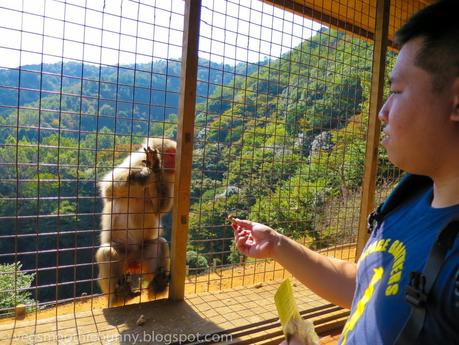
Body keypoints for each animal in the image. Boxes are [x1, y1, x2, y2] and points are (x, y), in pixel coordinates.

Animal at [96, 136, 177, 304]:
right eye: (171, 154)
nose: (175, 161)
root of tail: (133, 263)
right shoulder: (136, 161)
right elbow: (109, 188)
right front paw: (144, 174)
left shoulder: (169, 178)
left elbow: (160, 209)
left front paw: (156, 167)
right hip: (123, 254)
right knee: (108, 252)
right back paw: (119, 296)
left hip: (142, 253)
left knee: (159, 245)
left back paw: (157, 286)